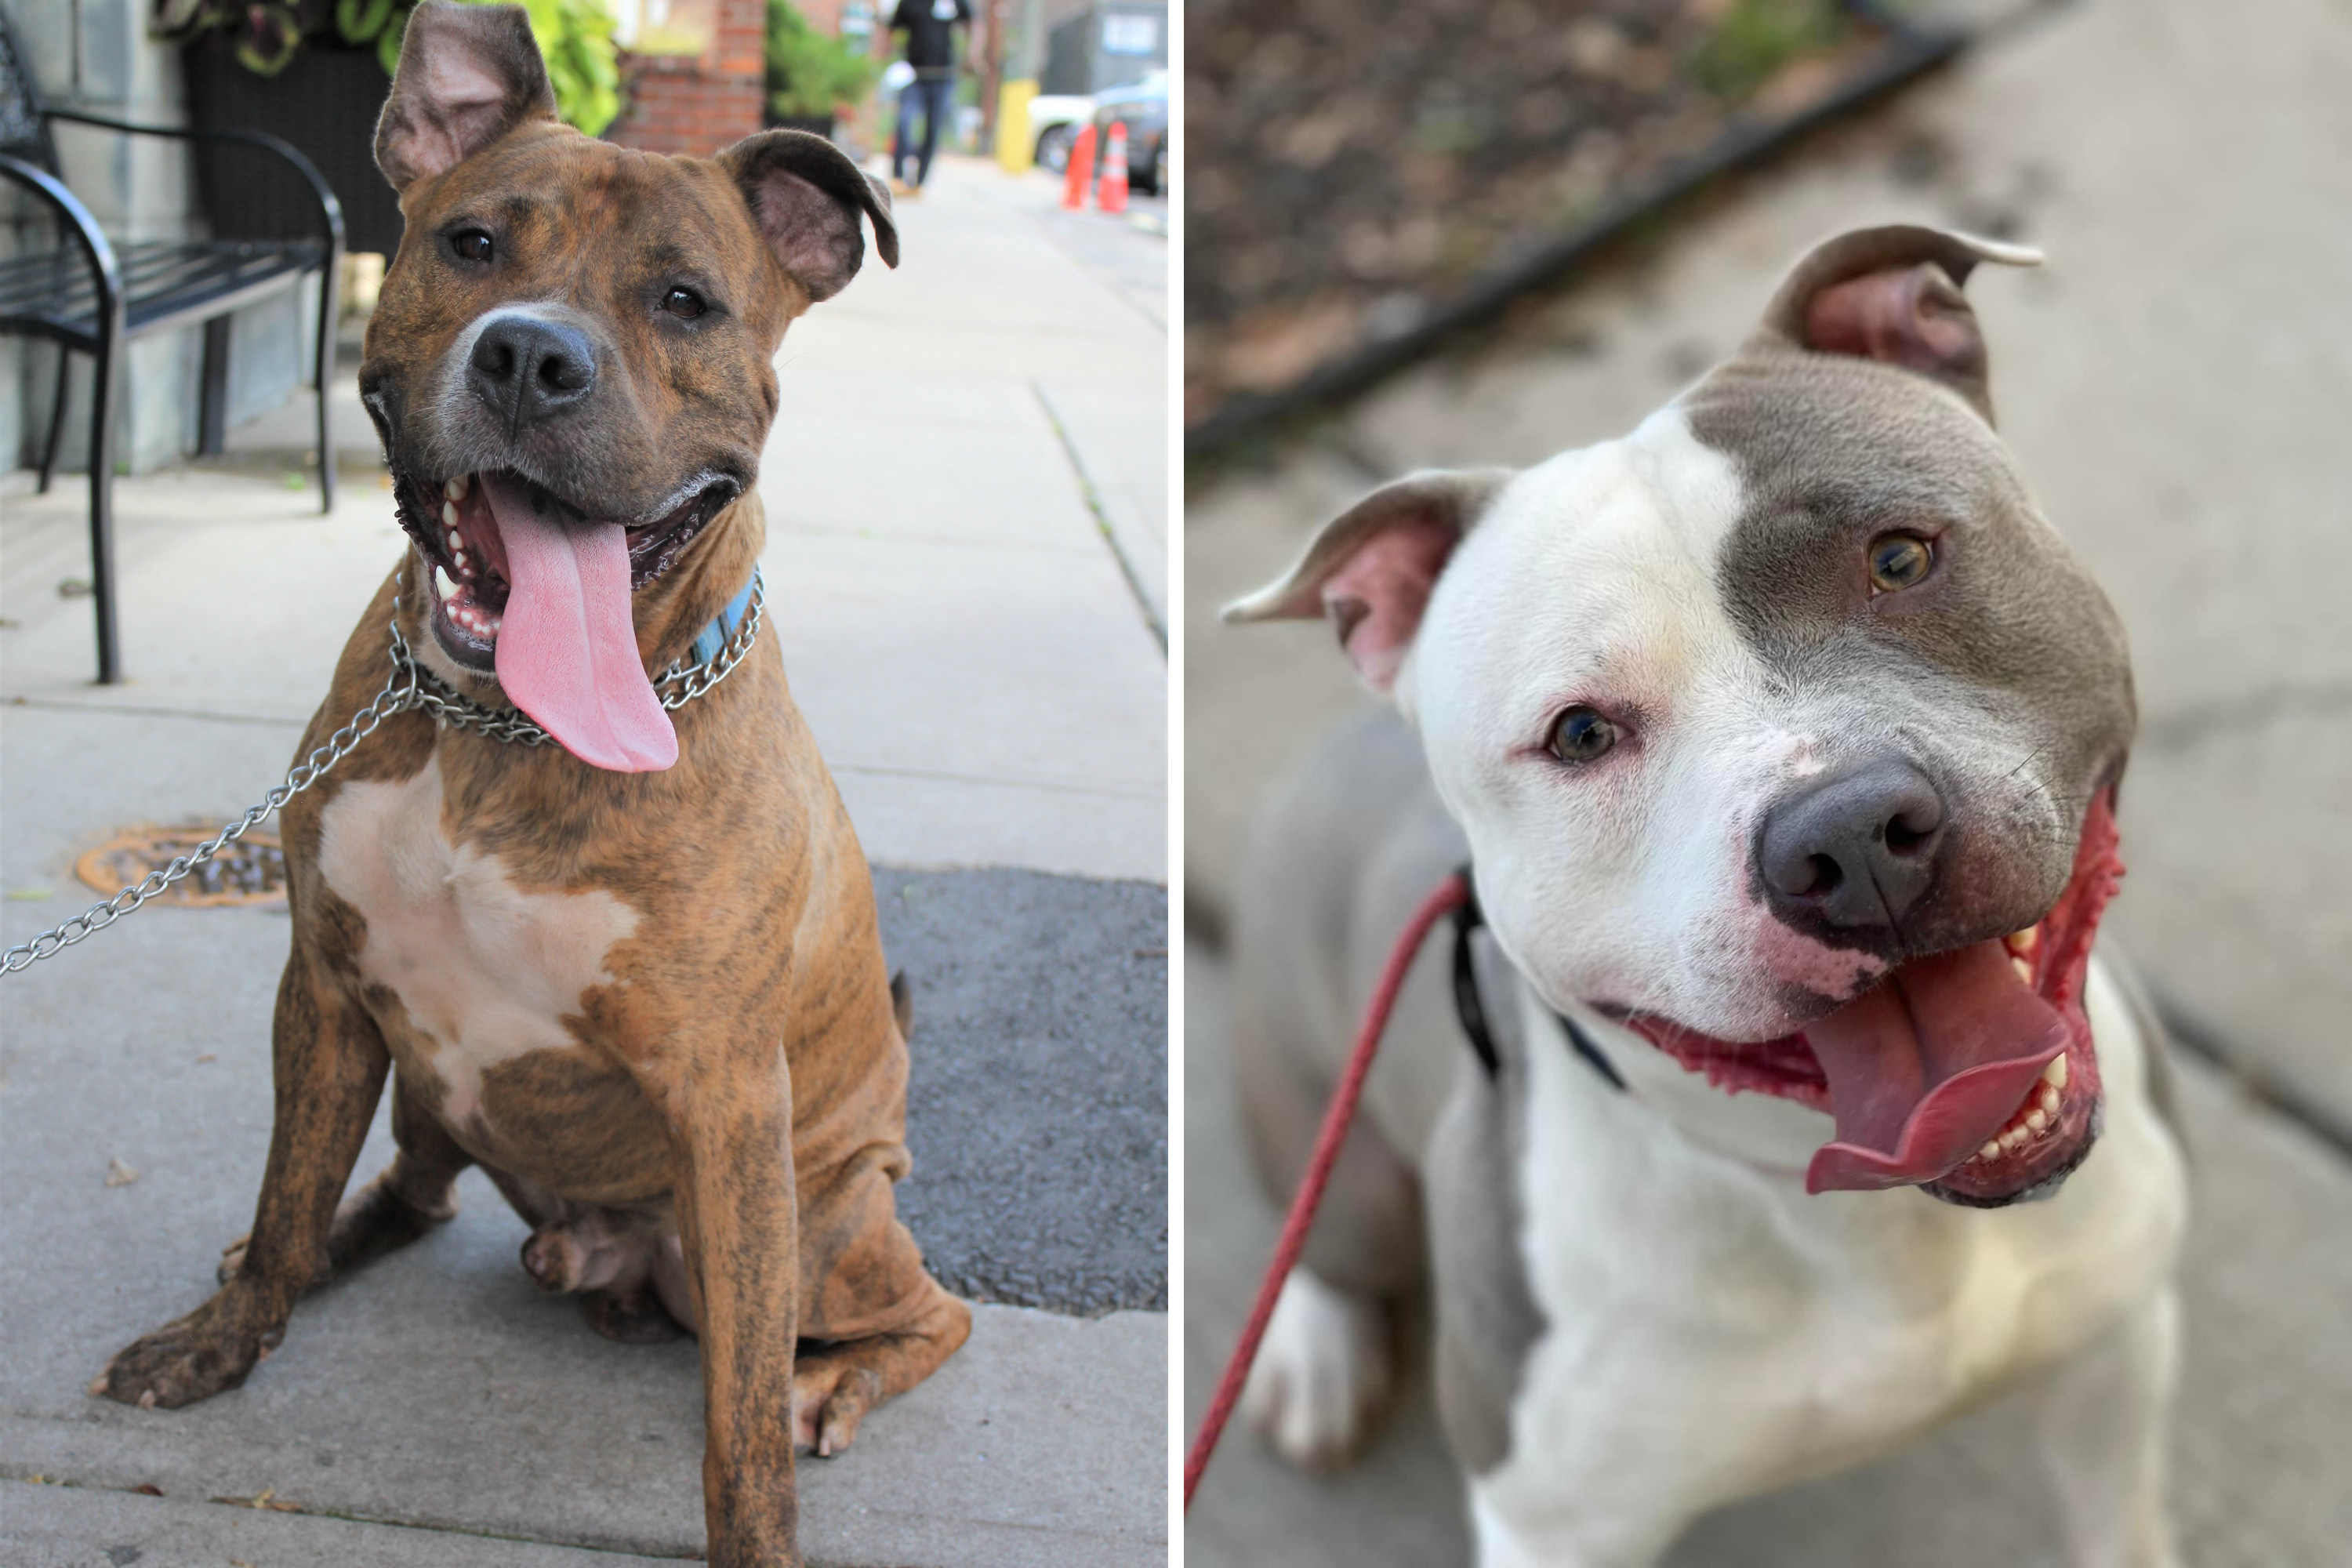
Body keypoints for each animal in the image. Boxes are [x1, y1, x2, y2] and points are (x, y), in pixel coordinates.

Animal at [85, 5, 964, 1561]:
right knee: (391, 1198)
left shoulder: (729, 1101)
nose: (532, 360)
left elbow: (739, 1428)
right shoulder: (325, 988)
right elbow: (286, 1179)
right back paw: (299, 1260)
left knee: (927, 1319)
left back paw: (839, 1386)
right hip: (429, 1088)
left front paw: (765, 1521)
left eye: (685, 301)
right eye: (475, 243)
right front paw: (225, 1336)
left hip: (828, 1228)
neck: (497, 727)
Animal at [1232, 223, 2183, 1568]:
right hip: (1329, 1121)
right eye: (1580, 734)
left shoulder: (2117, 1349)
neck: (1870, 1209)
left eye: (1902, 556)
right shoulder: (1553, 1523)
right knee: (1323, 1219)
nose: (1851, 840)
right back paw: (1316, 1349)